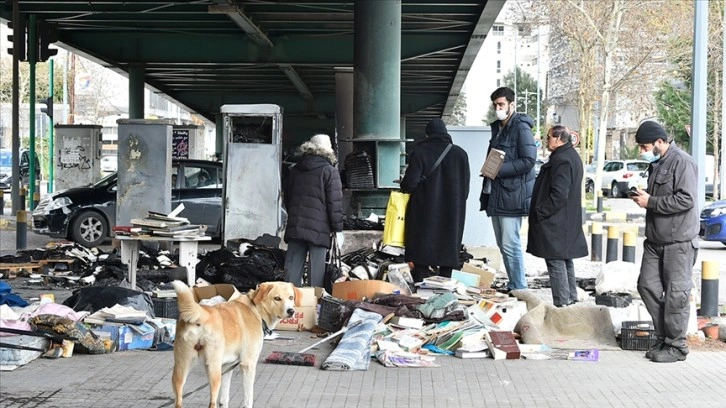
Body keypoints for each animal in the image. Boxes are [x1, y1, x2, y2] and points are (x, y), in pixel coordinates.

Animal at [171, 280, 302, 408]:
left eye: (291, 297)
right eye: (277, 298)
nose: (291, 311)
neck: (256, 310)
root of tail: (202, 313)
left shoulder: (227, 368)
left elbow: (224, 398)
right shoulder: (248, 364)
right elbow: (248, 398)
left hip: (181, 368)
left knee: (178, 401)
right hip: (214, 371)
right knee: (212, 402)